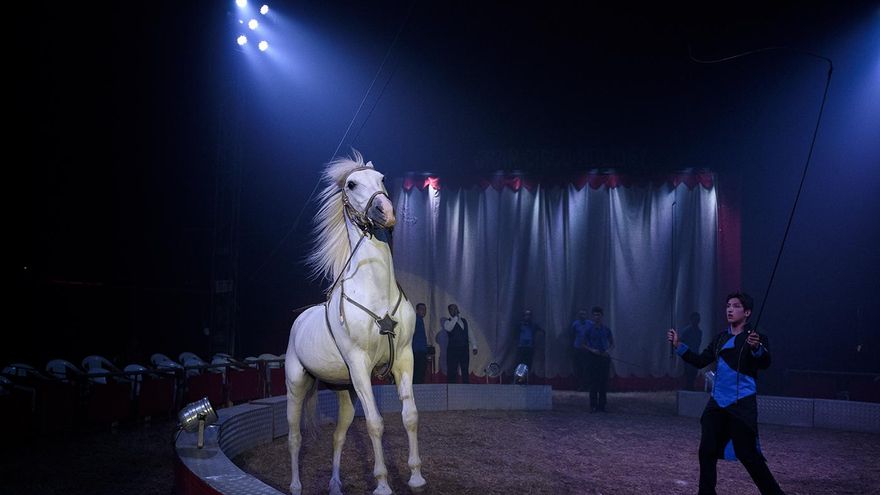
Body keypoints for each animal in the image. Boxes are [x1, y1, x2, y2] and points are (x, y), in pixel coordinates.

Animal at [285, 151, 425, 495]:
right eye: (351, 184)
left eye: (383, 179)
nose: (386, 212)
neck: (377, 294)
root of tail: (300, 319)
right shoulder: (360, 365)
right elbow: (375, 423)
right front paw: (383, 484)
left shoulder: (404, 359)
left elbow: (410, 416)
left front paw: (416, 477)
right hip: (296, 384)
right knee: (294, 437)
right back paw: (295, 485)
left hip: (344, 391)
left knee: (338, 435)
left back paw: (335, 484)